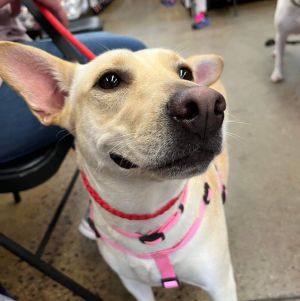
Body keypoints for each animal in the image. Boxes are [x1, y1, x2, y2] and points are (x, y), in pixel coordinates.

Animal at [0, 41, 237, 300]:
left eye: (186, 73)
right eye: (109, 80)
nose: (206, 106)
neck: (146, 215)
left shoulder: (222, 285)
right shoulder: (134, 284)